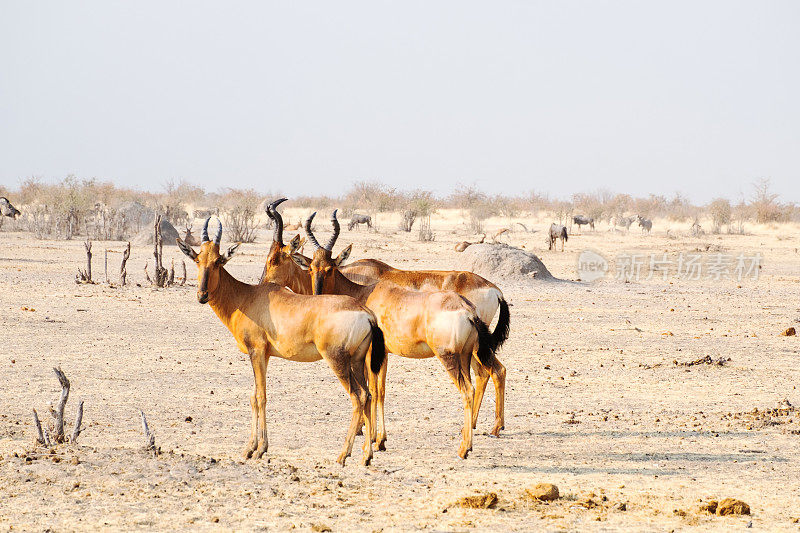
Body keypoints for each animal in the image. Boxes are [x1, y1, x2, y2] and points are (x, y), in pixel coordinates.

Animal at [176, 216, 388, 466]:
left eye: (219, 261)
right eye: (198, 259)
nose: (202, 295)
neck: (248, 296)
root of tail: (366, 313)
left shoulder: (257, 352)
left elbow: (260, 397)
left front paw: (257, 449)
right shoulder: (264, 355)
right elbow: (254, 396)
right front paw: (252, 448)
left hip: (337, 360)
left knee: (358, 397)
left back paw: (343, 455)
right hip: (356, 360)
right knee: (368, 394)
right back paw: (366, 455)